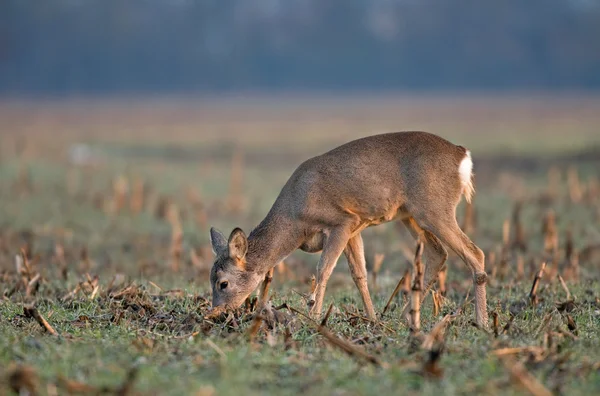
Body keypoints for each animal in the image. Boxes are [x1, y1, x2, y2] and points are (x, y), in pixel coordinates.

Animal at [209, 131, 490, 326]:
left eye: (223, 283)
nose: (216, 312)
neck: (295, 218)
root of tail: (462, 155)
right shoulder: (355, 228)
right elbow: (360, 275)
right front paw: (372, 318)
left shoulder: (342, 222)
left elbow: (323, 270)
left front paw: (313, 316)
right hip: (411, 215)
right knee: (438, 253)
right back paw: (406, 317)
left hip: (435, 209)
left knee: (475, 253)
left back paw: (483, 322)